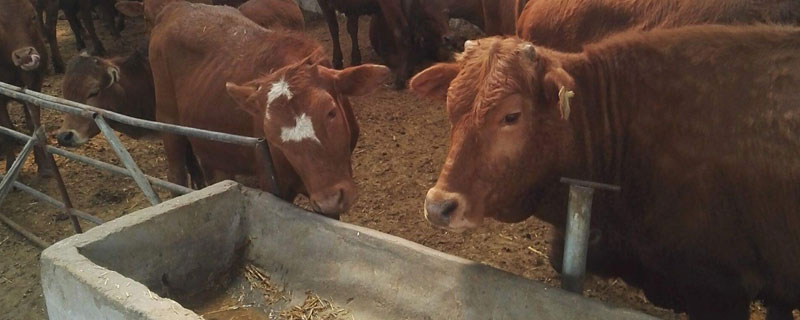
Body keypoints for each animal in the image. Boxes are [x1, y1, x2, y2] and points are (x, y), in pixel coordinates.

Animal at [0, 0, 54, 178]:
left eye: (33, 16)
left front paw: (44, 165)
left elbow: (33, 126)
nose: (24, 56)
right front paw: (10, 166)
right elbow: (7, 131)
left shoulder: (35, 87)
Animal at [148, 0, 390, 218]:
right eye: (272, 137)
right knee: (176, 172)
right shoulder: (273, 184)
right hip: (167, 119)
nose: (330, 201)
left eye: (331, 112)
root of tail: (173, 9)